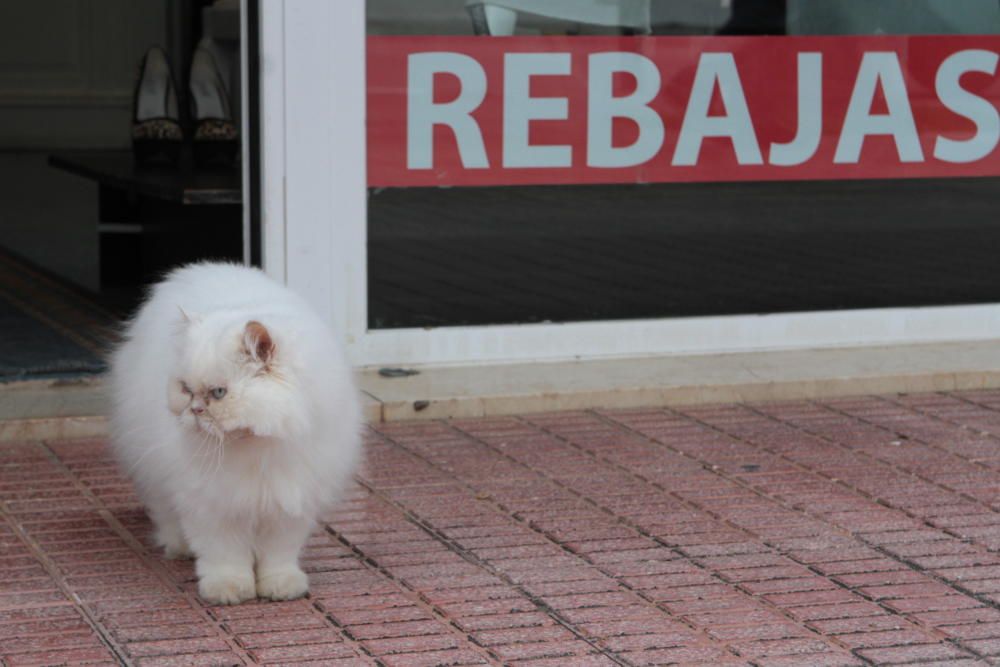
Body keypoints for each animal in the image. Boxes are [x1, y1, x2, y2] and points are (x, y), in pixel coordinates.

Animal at [110, 264, 360, 608]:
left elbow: (277, 556)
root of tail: (204, 268)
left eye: (218, 393)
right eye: (186, 389)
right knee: (165, 513)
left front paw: (280, 587)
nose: (195, 409)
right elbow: (225, 556)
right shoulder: (212, 504)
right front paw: (227, 591)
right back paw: (179, 547)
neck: (256, 447)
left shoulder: (289, 503)